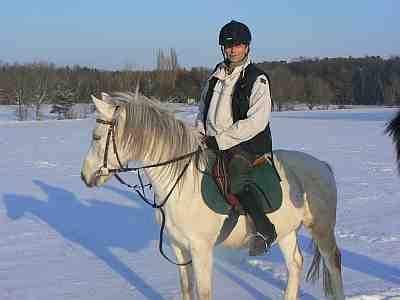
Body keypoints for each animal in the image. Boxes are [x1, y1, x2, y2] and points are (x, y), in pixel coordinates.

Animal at [80, 92, 344, 298]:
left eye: (96, 137)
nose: (84, 176)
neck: (183, 185)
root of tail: (322, 165)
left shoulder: (201, 250)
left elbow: (204, 292)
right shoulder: (179, 247)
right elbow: (187, 289)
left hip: (321, 228)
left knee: (334, 264)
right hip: (286, 231)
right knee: (295, 265)